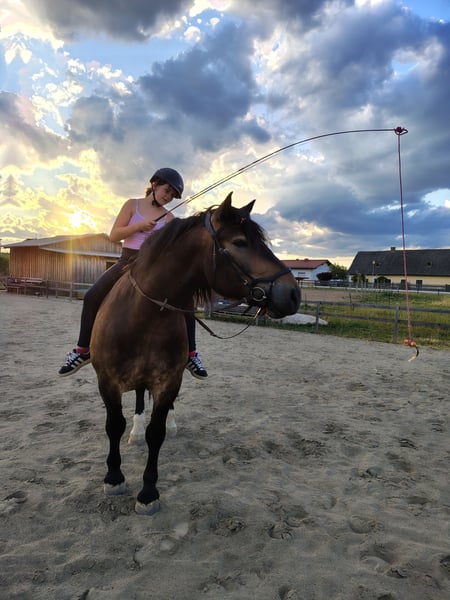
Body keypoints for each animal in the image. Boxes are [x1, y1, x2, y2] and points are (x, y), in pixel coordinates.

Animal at [90, 192, 301, 515]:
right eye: (240, 242)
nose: (293, 294)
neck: (143, 315)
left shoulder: (168, 382)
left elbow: (157, 433)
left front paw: (148, 493)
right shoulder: (107, 382)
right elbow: (114, 426)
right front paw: (114, 478)